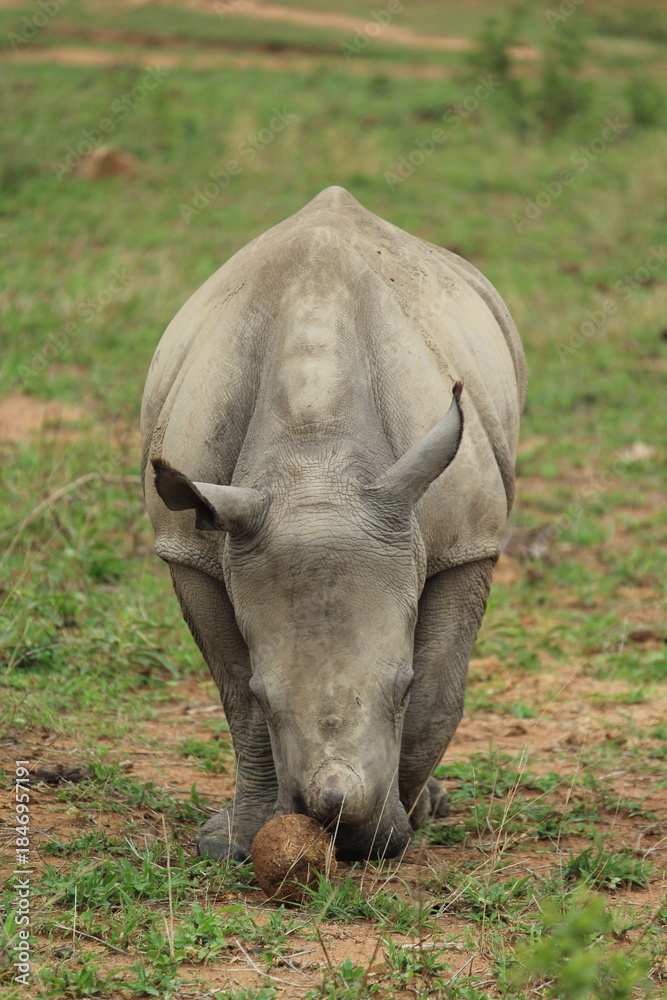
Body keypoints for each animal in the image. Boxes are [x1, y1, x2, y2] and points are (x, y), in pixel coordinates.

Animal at [141, 186, 526, 861]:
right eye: (270, 698)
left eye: (400, 688)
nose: (341, 825)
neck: (315, 464)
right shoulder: (188, 545)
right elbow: (236, 693)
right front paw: (234, 842)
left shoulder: (467, 541)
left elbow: (439, 691)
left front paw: (400, 826)